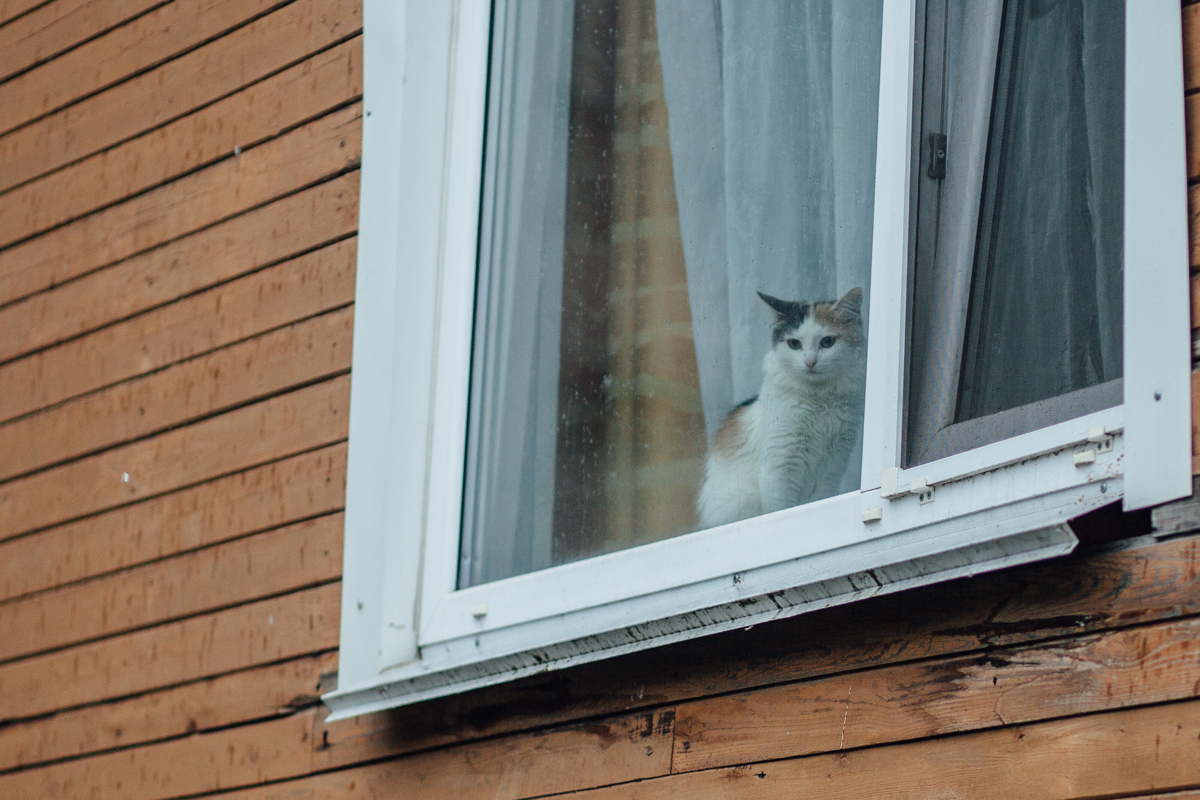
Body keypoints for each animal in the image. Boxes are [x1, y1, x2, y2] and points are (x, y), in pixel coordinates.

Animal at [700, 287, 868, 532]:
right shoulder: (780, 469)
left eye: (827, 342)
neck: (819, 404)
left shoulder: (832, 467)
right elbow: (782, 509)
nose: (810, 362)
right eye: (794, 344)